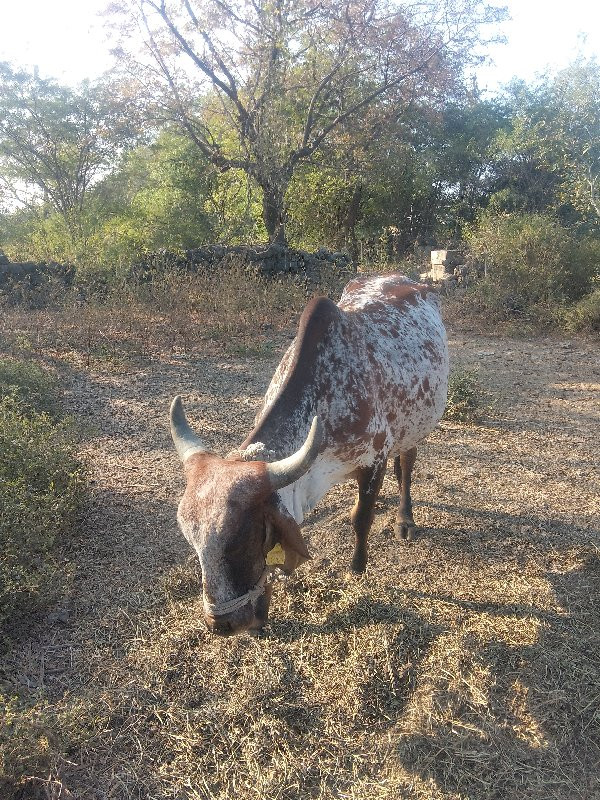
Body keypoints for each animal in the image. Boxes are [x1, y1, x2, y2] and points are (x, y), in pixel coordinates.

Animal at [171, 276, 448, 636]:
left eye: (243, 540)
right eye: (193, 544)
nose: (222, 624)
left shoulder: (375, 459)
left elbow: (362, 519)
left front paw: (358, 567)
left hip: (414, 426)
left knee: (407, 463)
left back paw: (405, 519)